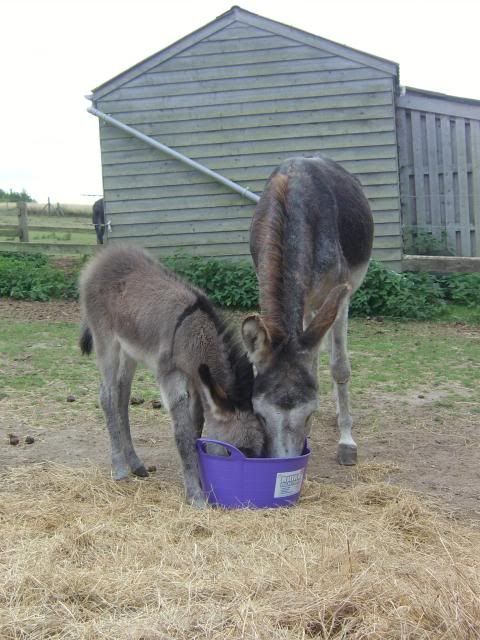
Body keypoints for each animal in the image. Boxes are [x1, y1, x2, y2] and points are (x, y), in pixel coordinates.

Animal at [80, 248, 264, 508]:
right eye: (237, 451)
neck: (193, 335)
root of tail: (103, 256)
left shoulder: (198, 383)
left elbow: (195, 427)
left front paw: (198, 479)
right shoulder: (171, 378)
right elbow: (182, 435)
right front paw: (195, 495)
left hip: (130, 350)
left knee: (121, 397)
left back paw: (135, 463)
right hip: (106, 340)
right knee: (107, 395)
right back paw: (119, 468)